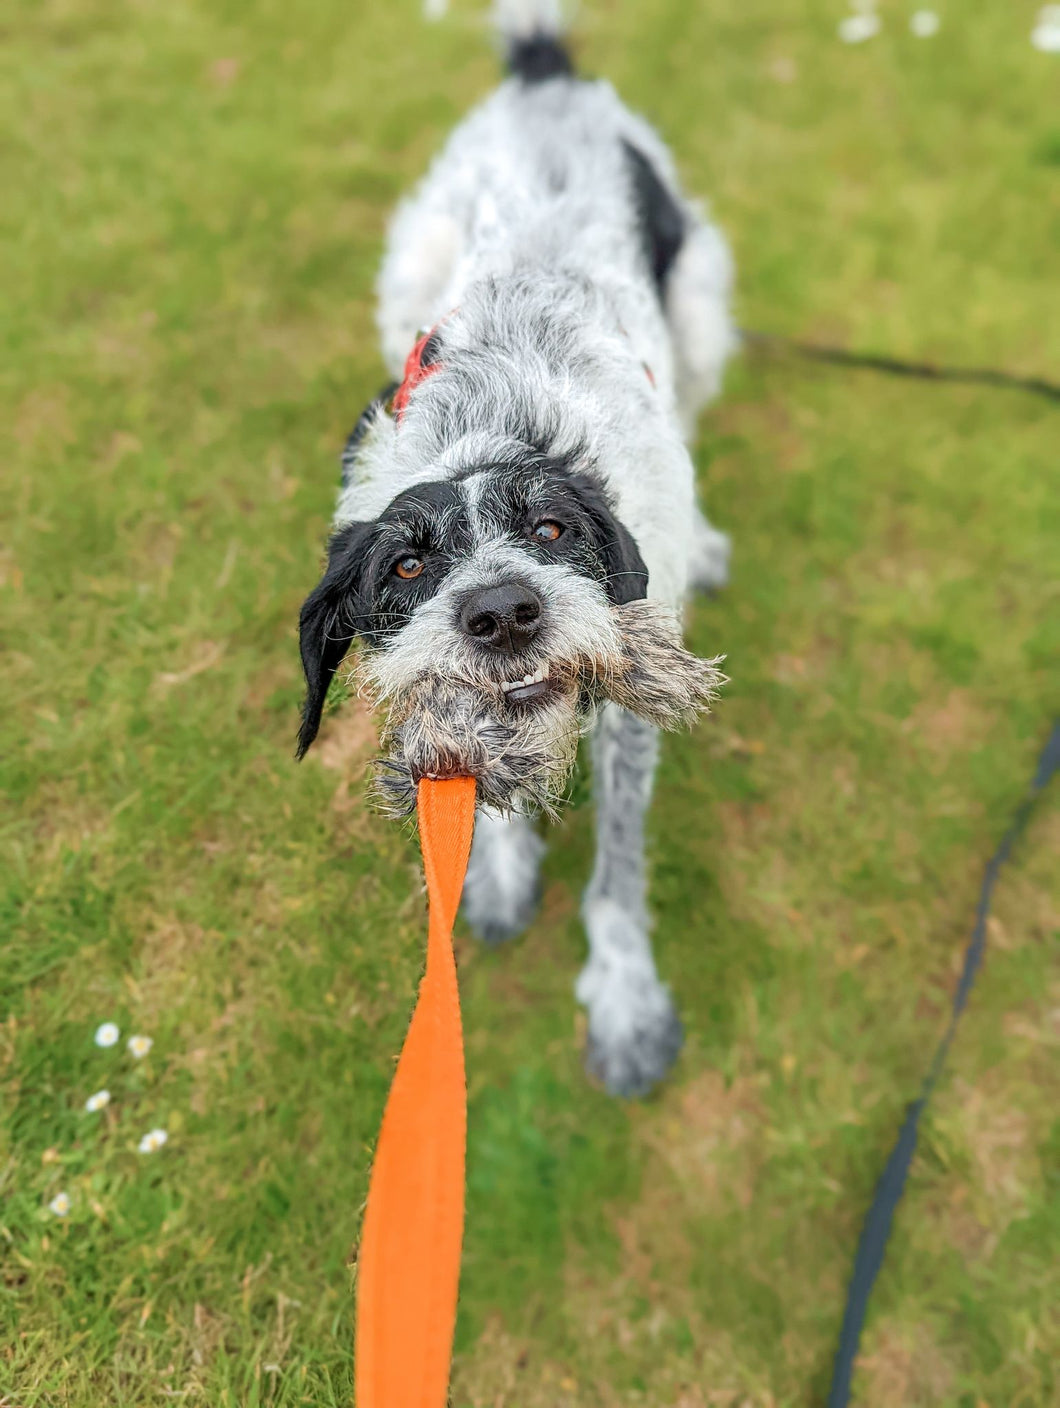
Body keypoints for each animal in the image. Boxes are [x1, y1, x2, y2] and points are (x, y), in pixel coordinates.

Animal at [294, 0, 732, 1092]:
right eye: (407, 565)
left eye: (552, 530)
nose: (501, 613)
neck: (498, 422)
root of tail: (542, 74)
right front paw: (496, 872)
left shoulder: (627, 698)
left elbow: (618, 868)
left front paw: (623, 1000)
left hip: (700, 303)